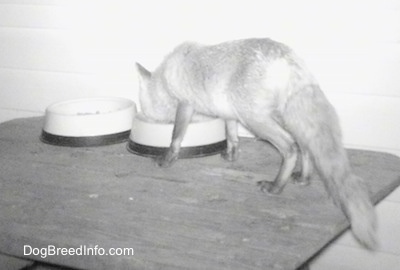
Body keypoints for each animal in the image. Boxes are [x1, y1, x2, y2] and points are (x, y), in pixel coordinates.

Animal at [136, 38, 376, 249]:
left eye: (143, 105)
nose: (143, 116)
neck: (166, 78)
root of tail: (286, 55)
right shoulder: (229, 112)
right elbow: (232, 136)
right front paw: (231, 156)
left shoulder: (186, 103)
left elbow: (176, 136)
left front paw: (167, 159)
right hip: (280, 116)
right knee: (304, 145)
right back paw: (304, 178)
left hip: (256, 119)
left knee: (290, 147)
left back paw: (276, 186)